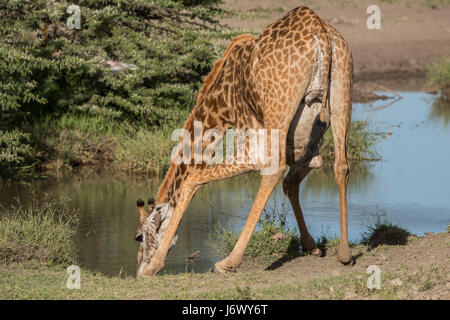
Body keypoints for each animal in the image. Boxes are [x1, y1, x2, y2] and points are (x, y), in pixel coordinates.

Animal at [135, 6, 354, 278]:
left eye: (139, 237)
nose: (136, 270)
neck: (222, 106)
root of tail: (320, 33)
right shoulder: (308, 149)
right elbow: (293, 182)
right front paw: (311, 245)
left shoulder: (251, 142)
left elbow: (191, 179)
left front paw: (154, 266)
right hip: (342, 93)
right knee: (341, 166)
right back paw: (344, 255)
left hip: (278, 114)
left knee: (273, 170)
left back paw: (228, 261)